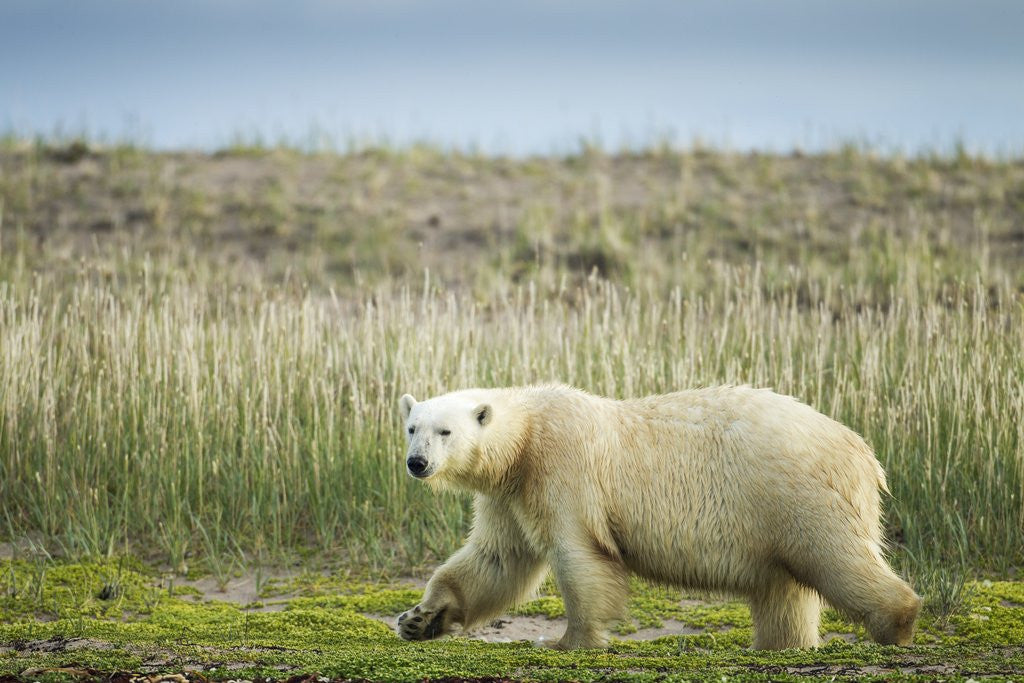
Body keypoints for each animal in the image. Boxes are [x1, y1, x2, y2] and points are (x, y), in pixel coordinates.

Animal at [395, 384, 921, 650]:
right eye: (412, 427)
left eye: (445, 431)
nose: (416, 463)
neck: (526, 435)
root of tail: (860, 450)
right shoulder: (511, 493)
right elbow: (496, 559)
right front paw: (420, 618)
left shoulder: (562, 467)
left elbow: (579, 556)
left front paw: (572, 641)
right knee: (785, 590)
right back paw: (780, 645)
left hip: (796, 493)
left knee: (837, 558)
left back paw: (897, 621)